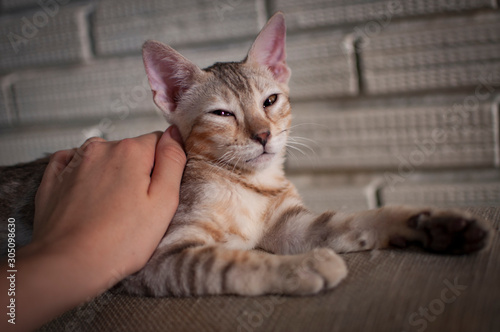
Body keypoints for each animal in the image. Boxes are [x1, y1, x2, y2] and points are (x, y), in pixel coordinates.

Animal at [0, 13, 492, 298]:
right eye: (222, 113)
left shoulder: (291, 225)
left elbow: (353, 221)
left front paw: (431, 223)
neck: (249, 185)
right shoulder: (161, 255)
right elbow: (230, 260)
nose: (263, 135)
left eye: (270, 101)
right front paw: (304, 266)